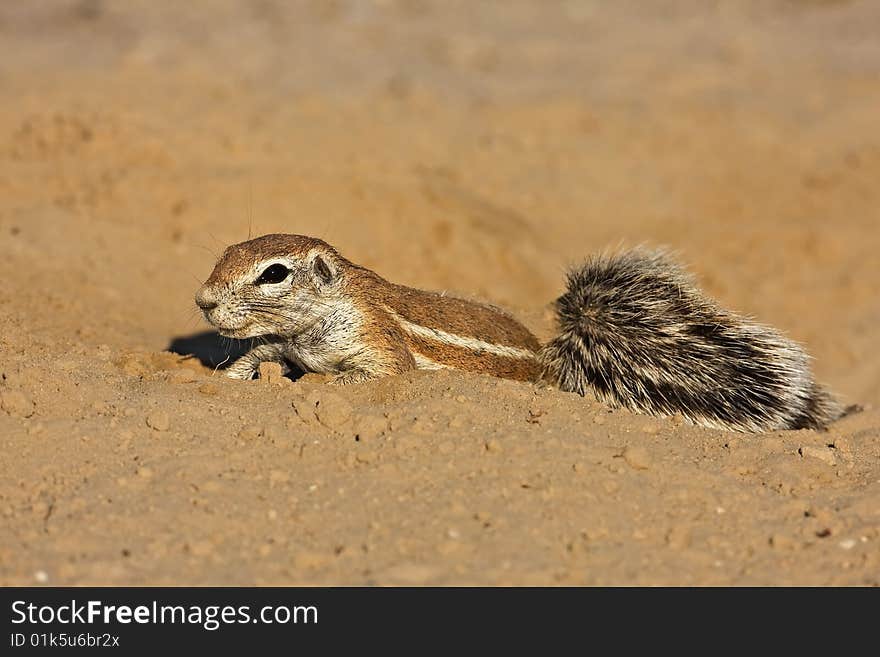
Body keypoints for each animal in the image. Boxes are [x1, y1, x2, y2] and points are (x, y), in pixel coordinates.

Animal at [196, 234, 844, 430]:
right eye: (225, 251)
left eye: (274, 273)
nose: (202, 301)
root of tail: (554, 361)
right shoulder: (283, 341)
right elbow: (259, 350)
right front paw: (231, 374)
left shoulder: (377, 341)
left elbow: (382, 374)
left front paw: (313, 389)